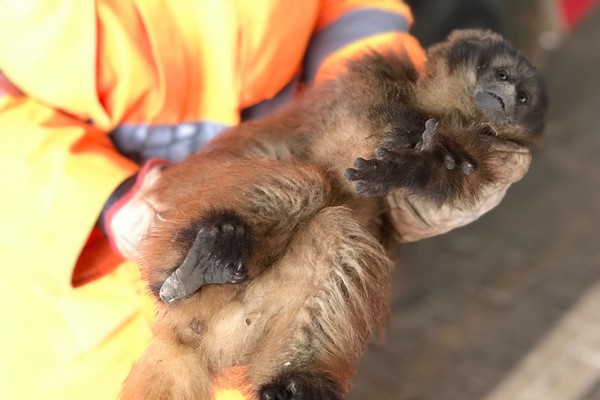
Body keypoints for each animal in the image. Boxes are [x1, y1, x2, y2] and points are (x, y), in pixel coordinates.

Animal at [122, 28, 548, 400]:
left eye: (524, 96)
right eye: (503, 75)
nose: (509, 95)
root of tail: (188, 338)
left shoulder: (486, 156)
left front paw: (418, 169)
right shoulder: (372, 74)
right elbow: (348, 136)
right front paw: (414, 150)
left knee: (335, 229)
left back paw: (293, 383)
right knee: (308, 184)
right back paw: (189, 270)